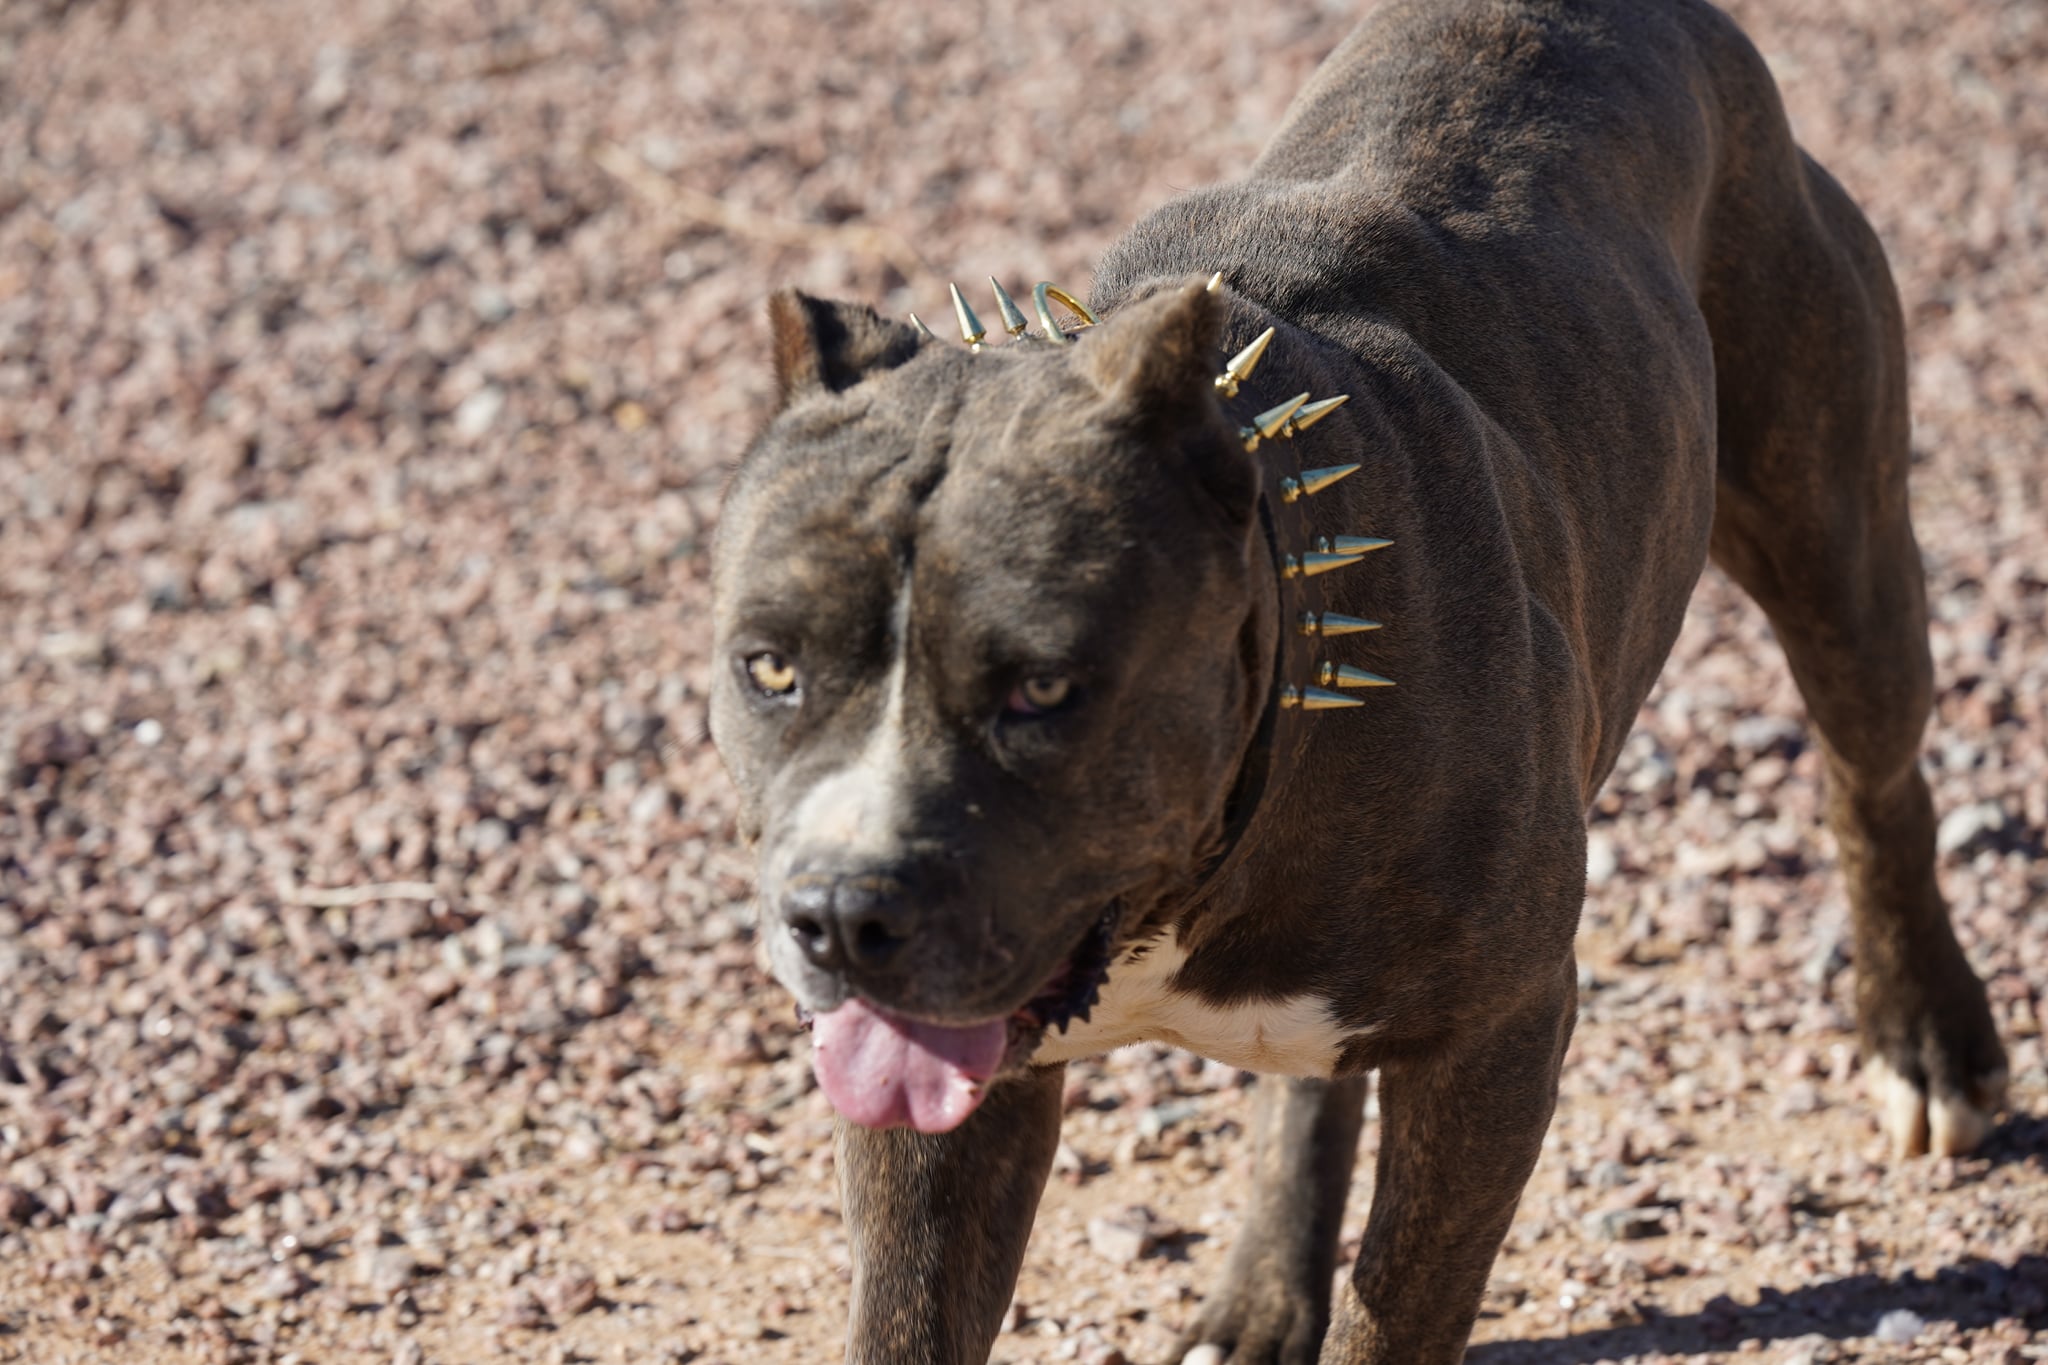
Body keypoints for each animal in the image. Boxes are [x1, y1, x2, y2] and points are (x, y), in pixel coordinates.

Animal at [700, 0, 1998, 1358]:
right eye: (769, 668)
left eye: (1045, 691)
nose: (842, 915)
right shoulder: (941, 1092)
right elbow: (904, 1313)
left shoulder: (1497, 1041)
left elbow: (1400, 1312)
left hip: (1835, 540)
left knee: (1872, 778)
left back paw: (1925, 1041)